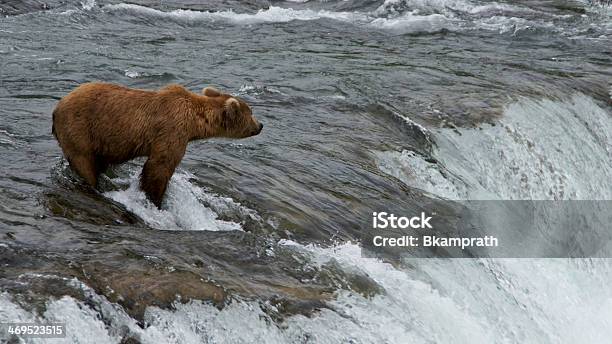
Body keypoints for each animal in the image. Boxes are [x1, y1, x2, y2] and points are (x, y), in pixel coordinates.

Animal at [52, 82, 262, 208]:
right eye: (251, 113)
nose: (260, 125)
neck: (194, 121)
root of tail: (57, 108)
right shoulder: (172, 131)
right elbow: (159, 166)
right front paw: (155, 200)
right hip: (80, 129)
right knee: (84, 163)